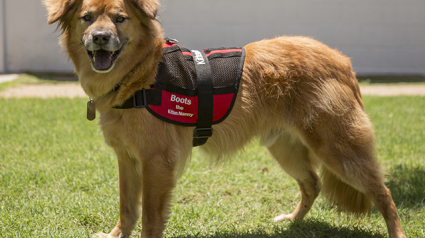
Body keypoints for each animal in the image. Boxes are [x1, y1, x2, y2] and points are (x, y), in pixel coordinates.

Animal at [44, 0, 406, 238]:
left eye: (120, 19)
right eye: (87, 17)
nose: (100, 37)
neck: (141, 74)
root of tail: (341, 60)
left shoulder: (156, 162)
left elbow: (149, 217)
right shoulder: (128, 158)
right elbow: (127, 208)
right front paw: (116, 235)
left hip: (338, 148)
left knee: (384, 194)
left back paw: (396, 232)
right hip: (286, 147)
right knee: (312, 183)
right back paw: (293, 221)